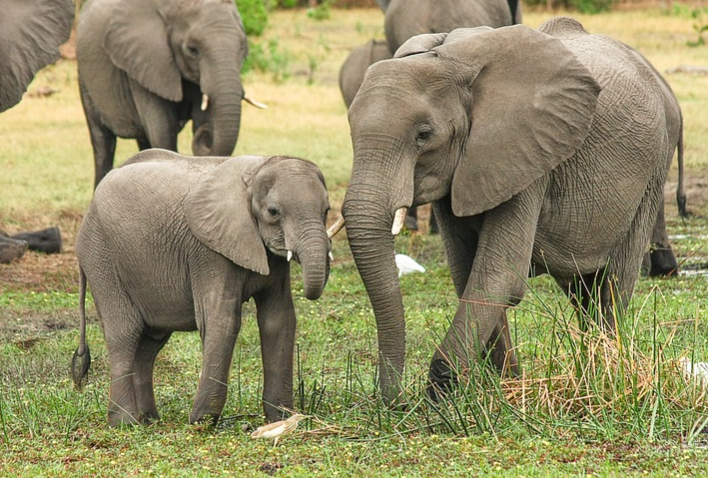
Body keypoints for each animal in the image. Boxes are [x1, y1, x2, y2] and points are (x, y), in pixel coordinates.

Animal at [71, 150, 334, 426]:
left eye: (327, 210)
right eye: (273, 212)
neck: (257, 169)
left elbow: (279, 320)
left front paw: (281, 419)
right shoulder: (208, 252)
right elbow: (222, 320)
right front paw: (202, 421)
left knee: (150, 343)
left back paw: (149, 420)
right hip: (101, 257)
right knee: (125, 333)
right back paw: (125, 423)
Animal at [77, 0, 261, 188]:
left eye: (242, 48)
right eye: (192, 50)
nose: (206, 134)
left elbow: (199, 118)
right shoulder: (147, 63)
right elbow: (162, 132)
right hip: (85, 80)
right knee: (103, 143)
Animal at [340, 18, 677, 401]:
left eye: (423, 135)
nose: (394, 401)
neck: (450, 62)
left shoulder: (528, 153)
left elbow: (499, 274)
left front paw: (441, 393)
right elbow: (467, 272)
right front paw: (504, 387)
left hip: (653, 169)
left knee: (613, 282)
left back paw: (605, 374)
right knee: (582, 289)